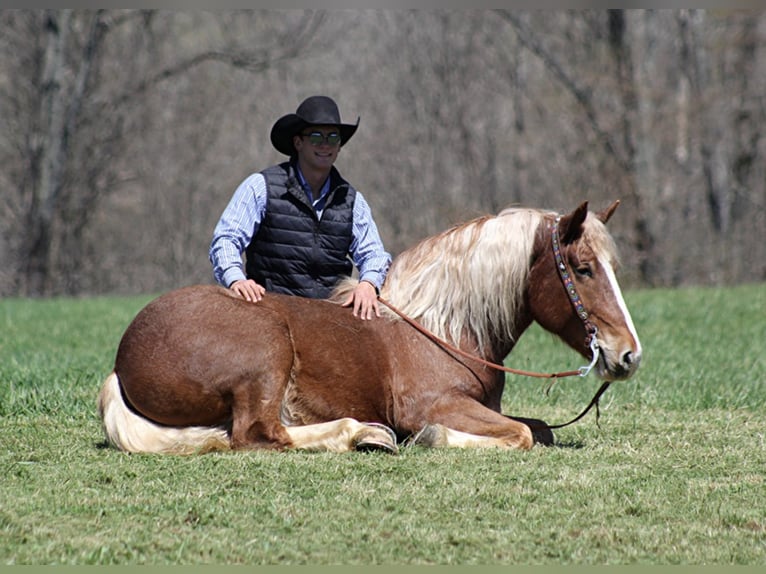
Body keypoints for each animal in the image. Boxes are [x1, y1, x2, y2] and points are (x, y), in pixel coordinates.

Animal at [99, 200, 644, 456]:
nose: (628, 355)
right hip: (265, 357)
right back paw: (362, 433)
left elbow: (539, 429)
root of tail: (124, 360)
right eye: (583, 269)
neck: (439, 327)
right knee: (258, 434)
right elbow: (523, 435)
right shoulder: (437, 405)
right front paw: (431, 438)